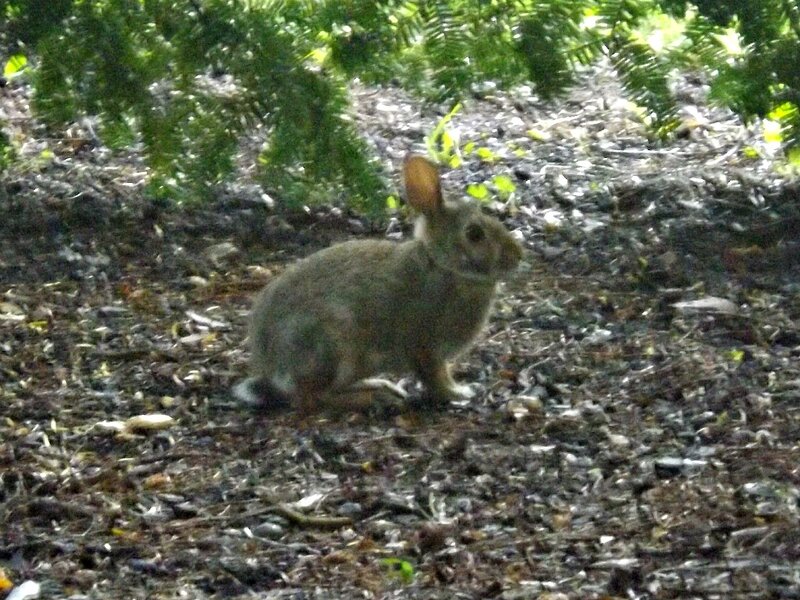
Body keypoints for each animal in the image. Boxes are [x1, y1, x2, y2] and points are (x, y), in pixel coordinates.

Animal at [233, 154, 523, 413]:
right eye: (474, 234)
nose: (518, 256)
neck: (444, 266)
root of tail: (272, 366)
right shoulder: (426, 346)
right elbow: (436, 378)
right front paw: (459, 393)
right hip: (333, 346)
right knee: (310, 399)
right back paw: (376, 398)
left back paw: (381, 386)